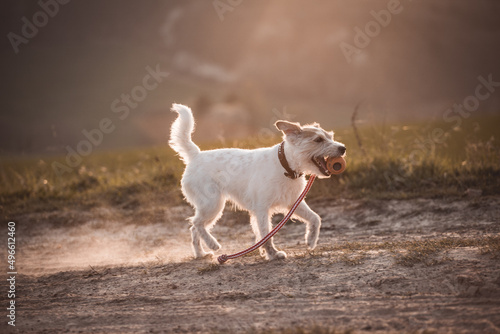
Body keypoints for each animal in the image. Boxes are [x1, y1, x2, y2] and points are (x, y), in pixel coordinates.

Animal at [170, 103, 346, 260]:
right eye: (318, 140)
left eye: (330, 137)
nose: (343, 148)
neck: (285, 165)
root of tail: (196, 155)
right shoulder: (262, 209)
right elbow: (266, 234)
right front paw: (273, 254)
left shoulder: (293, 203)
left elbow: (315, 218)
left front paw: (310, 240)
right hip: (212, 204)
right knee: (196, 223)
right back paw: (212, 244)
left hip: (209, 207)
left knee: (194, 228)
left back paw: (200, 254)